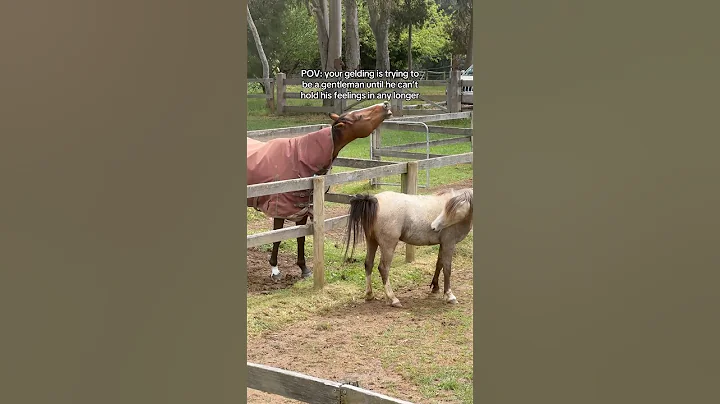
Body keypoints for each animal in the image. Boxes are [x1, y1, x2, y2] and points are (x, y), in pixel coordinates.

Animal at [247, 101, 393, 281]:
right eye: (359, 116)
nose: (385, 104)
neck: (298, 158)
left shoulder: (302, 210)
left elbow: (300, 237)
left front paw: (304, 269)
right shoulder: (279, 209)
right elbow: (277, 237)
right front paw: (275, 270)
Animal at [343, 188, 473, 307]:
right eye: (450, 209)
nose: (434, 225)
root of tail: (374, 200)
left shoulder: (442, 244)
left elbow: (439, 264)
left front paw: (435, 287)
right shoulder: (448, 244)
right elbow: (447, 269)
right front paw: (449, 295)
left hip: (372, 241)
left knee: (368, 264)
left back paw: (369, 295)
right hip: (388, 245)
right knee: (383, 268)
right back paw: (393, 299)